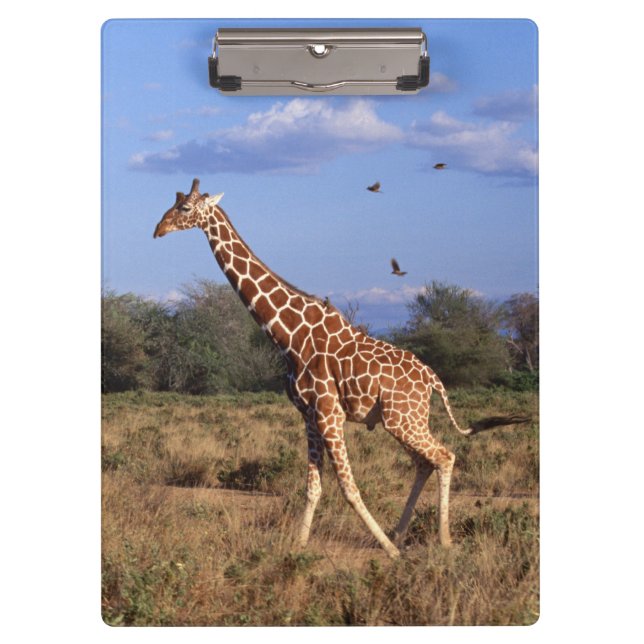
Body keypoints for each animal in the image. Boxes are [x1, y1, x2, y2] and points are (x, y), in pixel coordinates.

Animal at [153, 178, 530, 558]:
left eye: (185, 208)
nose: (158, 230)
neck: (289, 335)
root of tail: (433, 380)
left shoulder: (329, 412)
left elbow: (349, 488)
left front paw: (387, 552)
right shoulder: (309, 415)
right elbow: (313, 487)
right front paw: (298, 547)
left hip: (403, 419)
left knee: (444, 455)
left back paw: (442, 540)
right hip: (405, 420)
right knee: (426, 462)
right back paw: (399, 533)